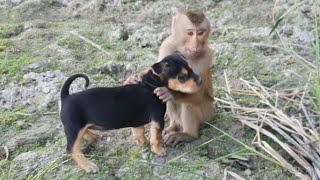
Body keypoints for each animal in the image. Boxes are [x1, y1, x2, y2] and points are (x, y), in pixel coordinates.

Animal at [58, 52, 201, 173]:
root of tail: (65, 97)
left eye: (191, 68)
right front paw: (158, 150)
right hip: (74, 129)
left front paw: (143, 143)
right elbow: (156, 137)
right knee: (72, 149)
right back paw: (88, 166)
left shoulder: (137, 121)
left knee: (84, 133)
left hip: (78, 126)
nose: (200, 81)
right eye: (182, 77)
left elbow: (139, 132)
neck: (151, 84)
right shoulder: (158, 119)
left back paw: (94, 137)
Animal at [124, 9, 212, 146]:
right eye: (190, 33)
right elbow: (158, 73)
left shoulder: (204, 57)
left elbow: (196, 93)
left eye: (200, 33)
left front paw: (169, 93)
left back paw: (188, 134)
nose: (196, 44)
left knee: (187, 103)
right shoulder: (167, 45)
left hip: (207, 113)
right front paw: (133, 78)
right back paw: (174, 126)